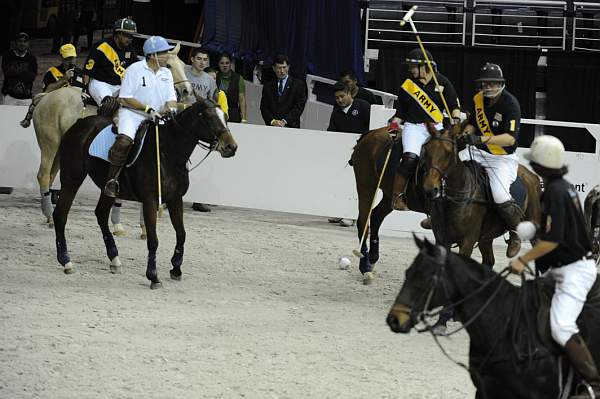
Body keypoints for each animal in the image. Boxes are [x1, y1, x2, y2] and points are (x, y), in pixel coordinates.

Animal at [31, 43, 193, 238]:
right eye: (168, 65)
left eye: (183, 65)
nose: (187, 91)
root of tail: (44, 97)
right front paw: (121, 226)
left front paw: (142, 228)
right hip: (50, 144)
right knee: (43, 174)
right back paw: (49, 214)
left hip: (61, 150)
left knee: (51, 175)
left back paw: (47, 215)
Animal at [52, 99, 237, 288]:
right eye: (207, 116)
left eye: (225, 116)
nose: (231, 147)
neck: (168, 153)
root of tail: (78, 124)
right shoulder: (150, 201)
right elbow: (153, 239)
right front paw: (153, 276)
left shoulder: (175, 199)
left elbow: (181, 234)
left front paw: (176, 268)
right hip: (72, 178)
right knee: (60, 215)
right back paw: (66, 261)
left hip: (108, 189)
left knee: (101, 214)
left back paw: (114, 259)